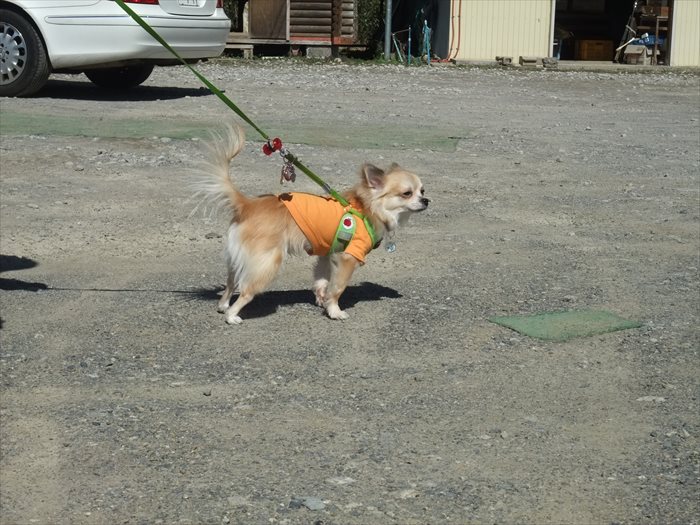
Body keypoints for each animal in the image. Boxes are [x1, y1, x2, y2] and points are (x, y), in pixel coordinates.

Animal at [196, 125, 429, 323]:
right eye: (407, 193)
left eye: (422, 190)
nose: (426, 200)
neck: (366, 209)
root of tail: (248, 204)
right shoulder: (349, 257)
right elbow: (337, 288)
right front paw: (334, 311)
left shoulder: (326, 254)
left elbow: (322, 281)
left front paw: (321, 300)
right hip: (267, 263)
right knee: (245, 291)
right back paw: (232, 316)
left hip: (238, 258)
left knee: (231, 282)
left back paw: (224, 306)